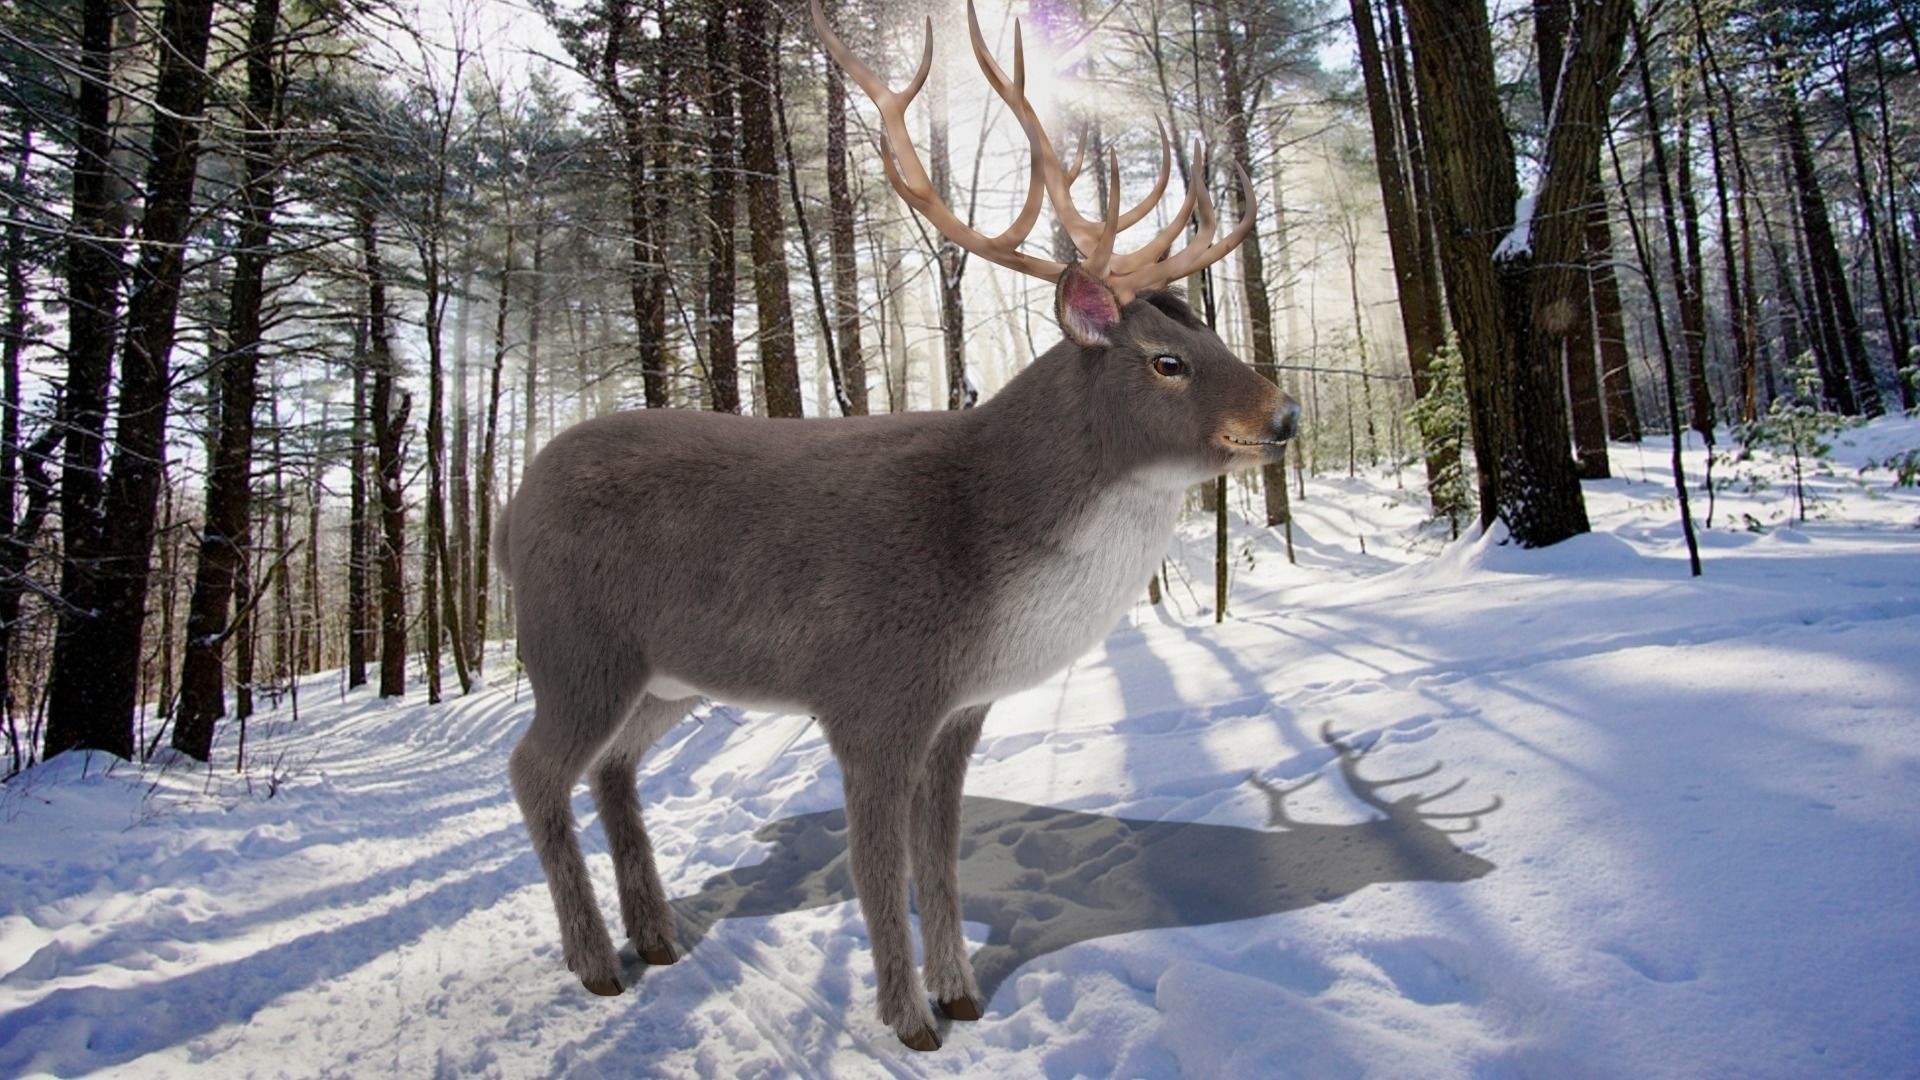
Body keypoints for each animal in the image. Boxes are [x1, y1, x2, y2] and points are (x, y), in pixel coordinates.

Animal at [493, 0, 1300, 1052]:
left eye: (1210, 328)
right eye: (1166, 361)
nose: (1284, 416)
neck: (985, 541)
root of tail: (506, 514)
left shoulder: (957, 712)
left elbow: (939, 858)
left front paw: (962, 997)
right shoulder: (869, 695)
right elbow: (878, 866)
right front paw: (910, 1021)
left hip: (665, 679)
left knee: (612, 771)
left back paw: (659, 941)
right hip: (574, 648)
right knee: (534, 770)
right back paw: (596, 965)